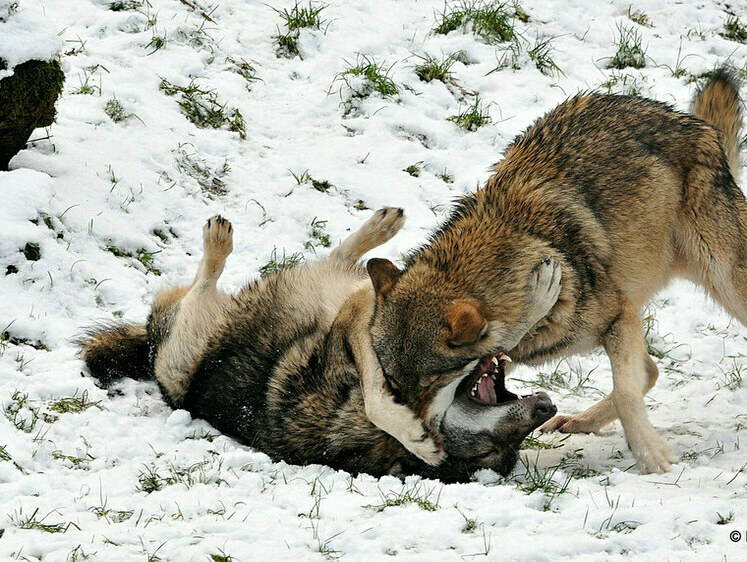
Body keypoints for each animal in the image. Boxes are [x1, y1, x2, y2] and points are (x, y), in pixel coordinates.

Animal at [83, 208, 556, 480]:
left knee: (330, 260)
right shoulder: (360, 323)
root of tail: (149, 344)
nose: (547, 409)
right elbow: (381, 399)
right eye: (490, 450)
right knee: (211, 279)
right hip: (186, 350)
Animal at [366, 69, 744, 472]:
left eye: (429, 382)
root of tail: (694, 123)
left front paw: (652, 458)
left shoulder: (619, 318)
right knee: (652, 371)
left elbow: (627, 393)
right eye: (394, 384)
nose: (424, 437)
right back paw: (580, 421)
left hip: (726, 282)